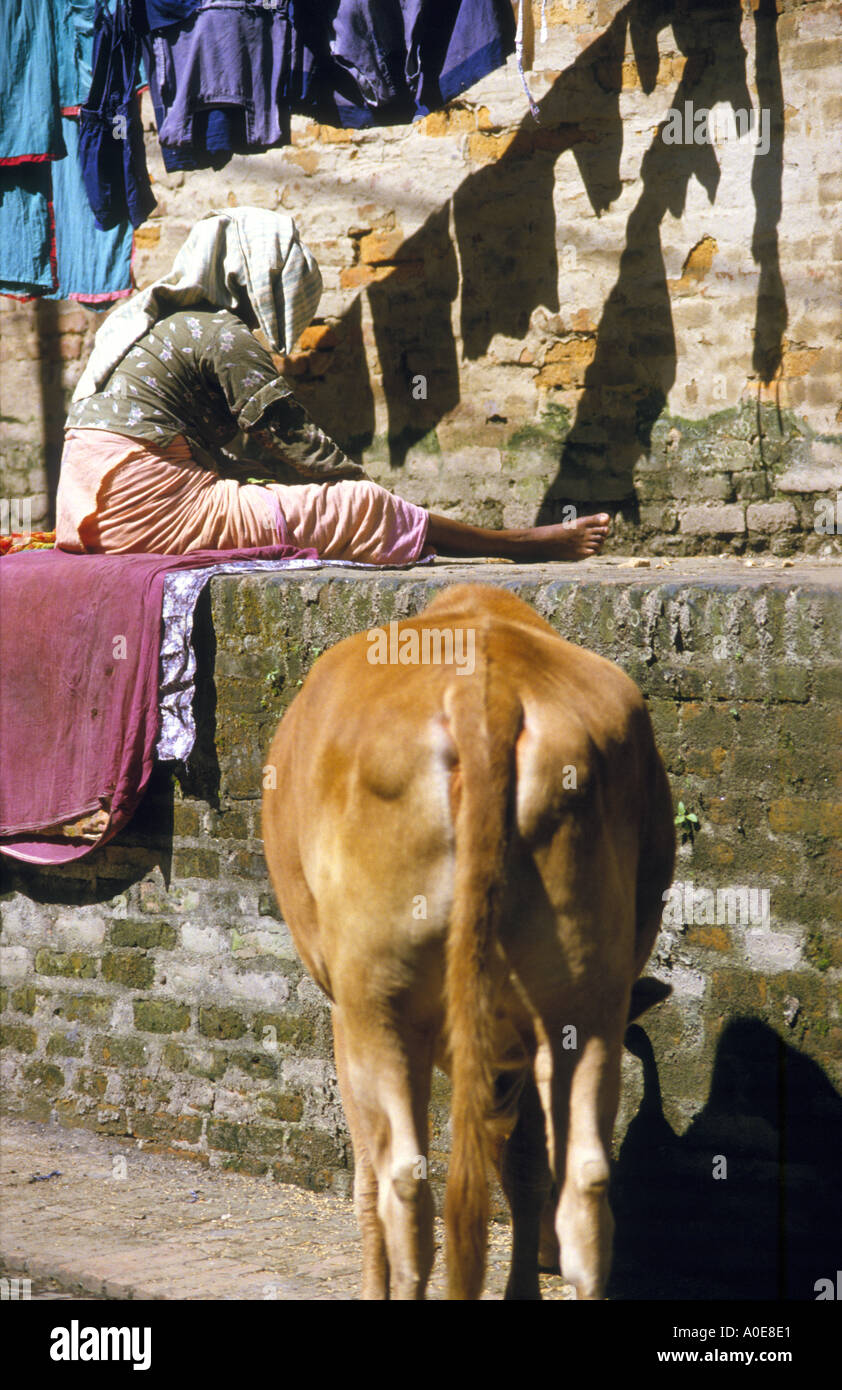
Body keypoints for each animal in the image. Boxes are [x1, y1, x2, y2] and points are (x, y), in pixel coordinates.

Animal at [263, 581, 680, 1295]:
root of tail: (485, 694)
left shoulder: (346, 1016)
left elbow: (367, 1180)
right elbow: (525, 1164)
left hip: (379, 999)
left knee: (404, 1186)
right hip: (583, 997)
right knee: (584, 1181)